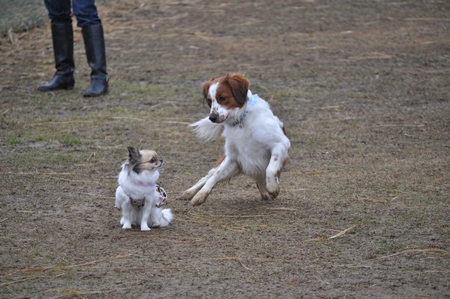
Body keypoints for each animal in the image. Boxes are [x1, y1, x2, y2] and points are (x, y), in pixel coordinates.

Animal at [174, 74, 290, 207]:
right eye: (210, 100)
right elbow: (214, 177)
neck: (241, 120)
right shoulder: (232, 157)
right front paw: (200, 195)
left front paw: (272, 187)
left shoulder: (280, 144)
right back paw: (189, 193)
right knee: (207, 177)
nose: (212, 118)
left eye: (222, 98)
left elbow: (270, 169)